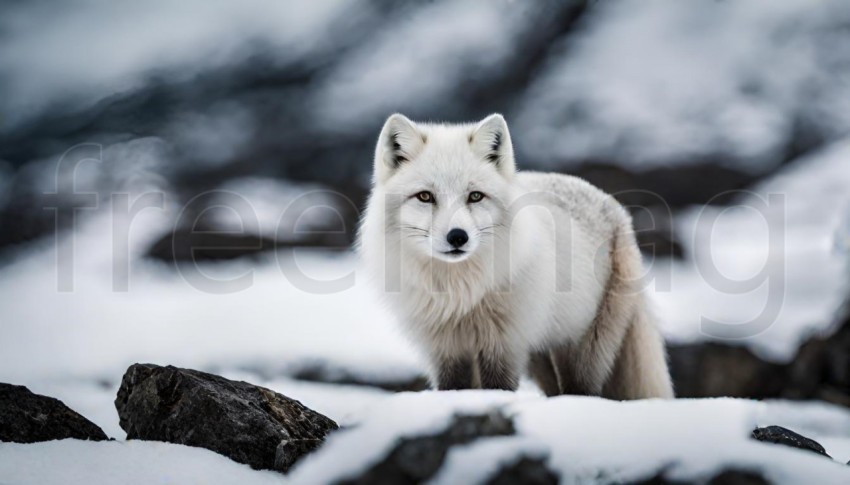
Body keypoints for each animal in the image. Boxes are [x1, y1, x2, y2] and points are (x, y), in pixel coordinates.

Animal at [356, 114, 668, 400]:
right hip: (541, 358)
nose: (458, 237)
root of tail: (616, 207)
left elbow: (499, 388)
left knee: (584, 390)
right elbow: (453, 388)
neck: (460, 293)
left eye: (475, 196)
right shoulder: (445, 349)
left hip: (583, 348)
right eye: (425, 196)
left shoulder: (504, 344)